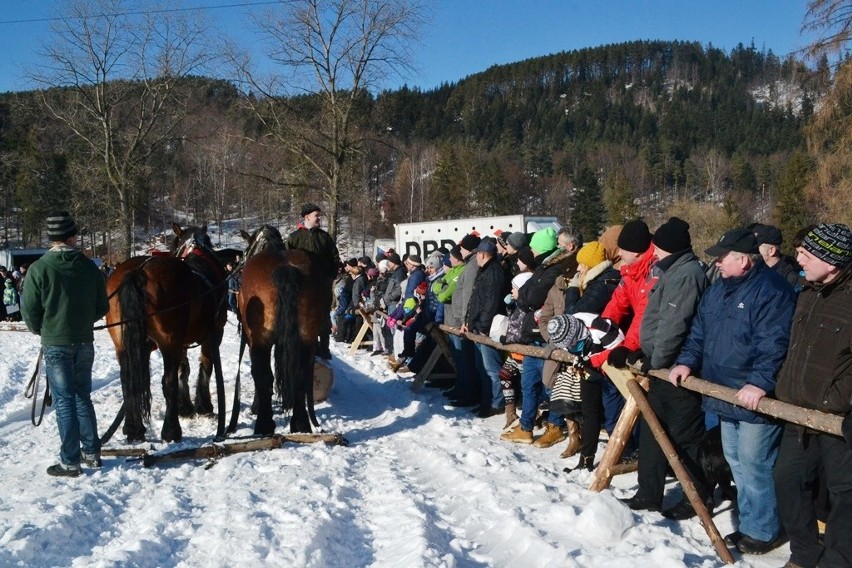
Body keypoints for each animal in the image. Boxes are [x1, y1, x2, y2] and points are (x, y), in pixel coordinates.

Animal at [106, 224, 230, 442]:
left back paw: (133, 428)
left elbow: (184, 369)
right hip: (168, 342)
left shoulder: (181, 342)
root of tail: (137, 272)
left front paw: (185, 406)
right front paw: (203, 406)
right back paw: (171, 430)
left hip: (123, 344)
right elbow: (205, 366)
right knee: (168, 381)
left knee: (128, 381)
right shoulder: (213, 334)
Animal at [236, 224, 326, 432]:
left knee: (263, 376)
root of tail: (286, 268)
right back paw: (301, 423)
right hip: (307, 338)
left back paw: (264, 424)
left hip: (259, 340)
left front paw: (256, 406)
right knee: (301, 376)